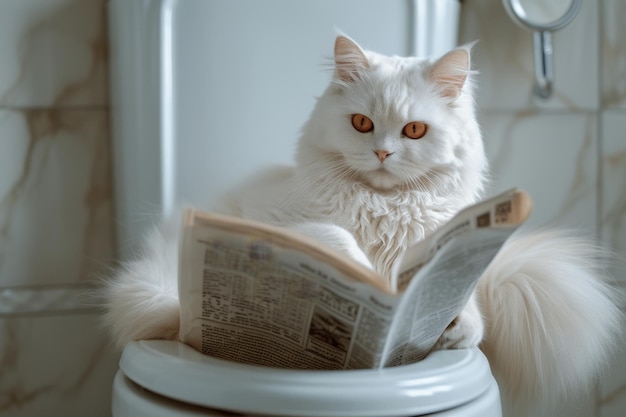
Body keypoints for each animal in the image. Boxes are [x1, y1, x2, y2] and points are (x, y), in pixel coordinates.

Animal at [102, 36, 620, 416]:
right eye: (361, 123)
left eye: (414, 130)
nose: (383, 153)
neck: (383, 206)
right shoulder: (281, 226)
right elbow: (338, 240)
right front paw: (369, 280)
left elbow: (470, 311)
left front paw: (454, 327)